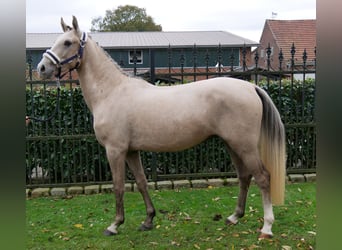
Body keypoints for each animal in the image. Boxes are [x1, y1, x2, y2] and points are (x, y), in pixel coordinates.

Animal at [36, 15, 286, 238]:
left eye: (67, 42)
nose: (42, 68)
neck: (111, 91)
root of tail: (251, 87)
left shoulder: (115, 150)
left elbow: (118, 186)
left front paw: (114, 225)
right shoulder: (131, 151)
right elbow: (141, 182)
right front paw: (148, 220)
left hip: (244, 146)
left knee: (263, 177)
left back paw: (266, 228)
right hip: (232, 144)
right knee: (244, 176)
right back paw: (234, 217)